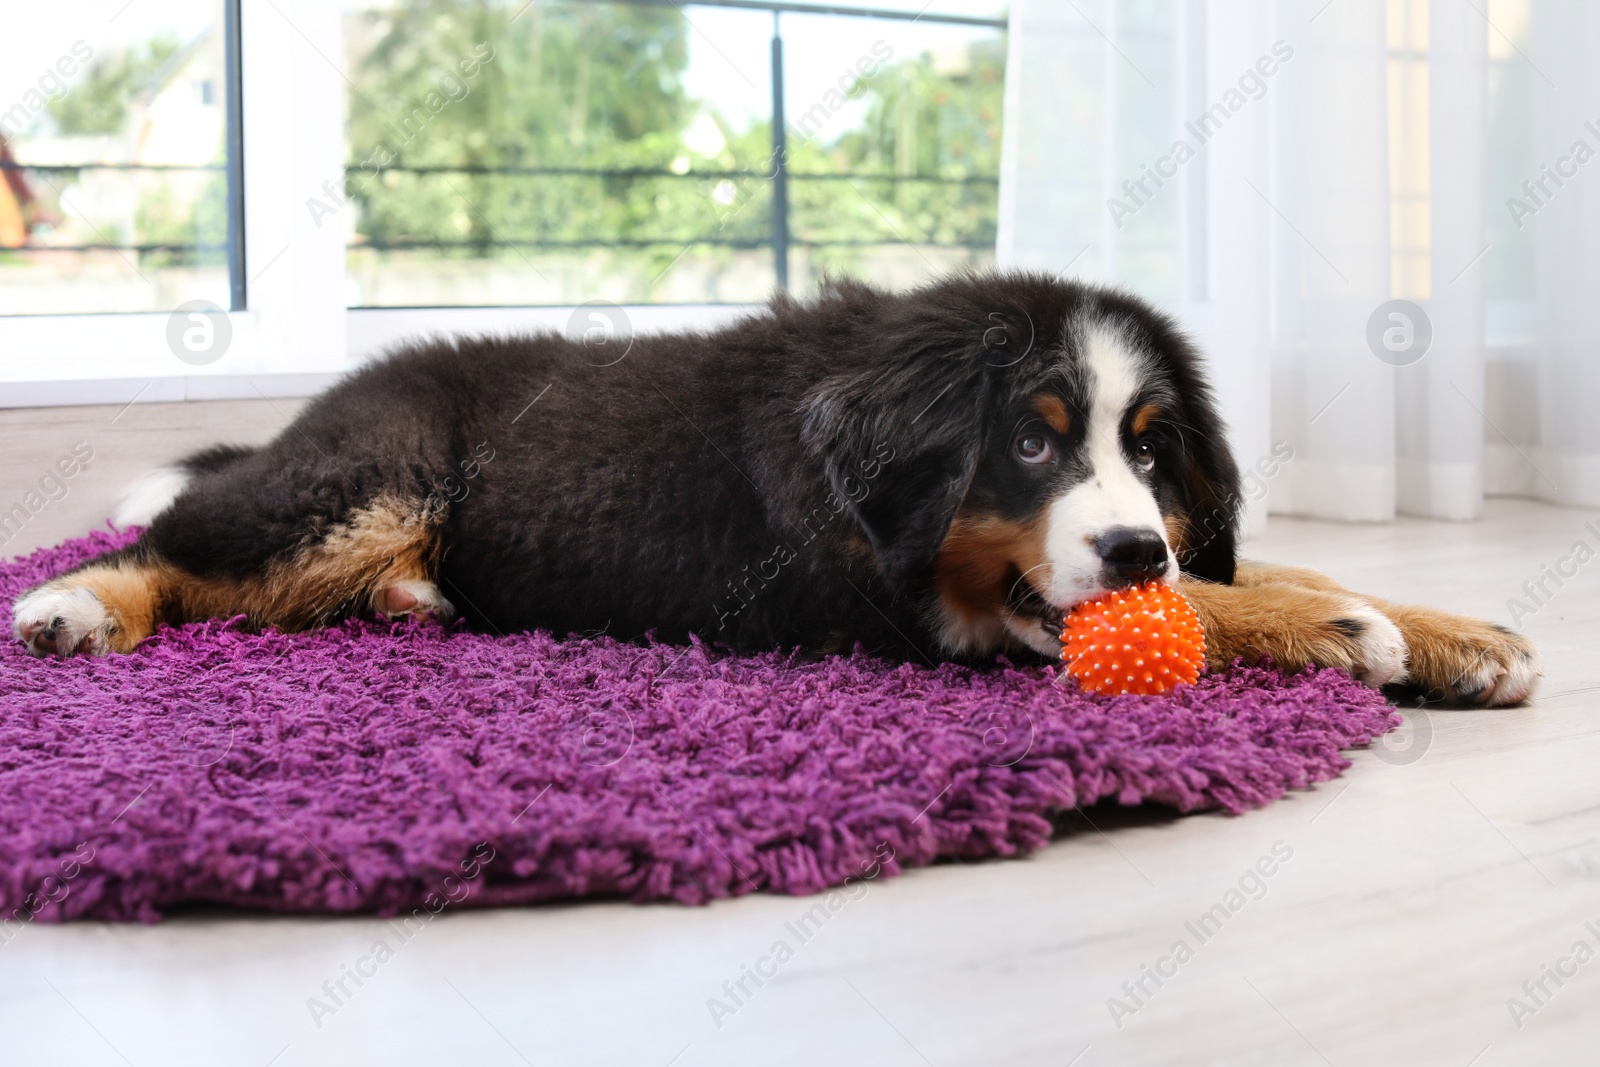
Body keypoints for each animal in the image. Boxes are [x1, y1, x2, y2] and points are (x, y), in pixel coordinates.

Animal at [9, 271, 1536, 703]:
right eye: (1029, 442)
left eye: (1152, 447)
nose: (1134, 550)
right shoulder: (913, 605)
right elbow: (1212, 601)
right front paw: (1341, 626)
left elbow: (1235, 568)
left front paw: (1454, 630)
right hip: (373, 475)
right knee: (179, 541)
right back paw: (75, 608)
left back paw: (407, 604)